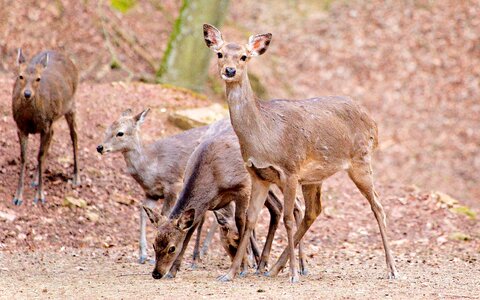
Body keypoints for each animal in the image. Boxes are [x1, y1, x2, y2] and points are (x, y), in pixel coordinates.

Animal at [11, 49, 79, 206]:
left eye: (38, 79)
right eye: (20, 76)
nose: (27, 94)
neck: (30, 119)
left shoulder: (46, 126)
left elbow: (40, 157)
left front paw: (40, 196)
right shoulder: (21, 127)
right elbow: (24, 157)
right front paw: (18, 197)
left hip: (70, 106)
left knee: (74, 136)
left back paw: (76, 178)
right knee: (51, 141)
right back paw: (35, 179)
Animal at [96, 109, 218, 264]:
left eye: (120, 133)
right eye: (107, 129)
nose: (100, 147)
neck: (153, 167)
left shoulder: (174, 185)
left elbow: (166, 214)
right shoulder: (151, 193)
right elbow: (144, 213)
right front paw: (142, 255)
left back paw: (202, 252)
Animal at [143, 118, 308, 280]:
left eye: (171, 248)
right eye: (154, 244)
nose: (156, 273)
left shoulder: (243, 187)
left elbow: (241, 222)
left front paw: (243, 268)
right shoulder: (204, 206)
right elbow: (191, 230)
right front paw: (173, 271)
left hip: (282, 176)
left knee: (298, 206)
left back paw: (302, 267)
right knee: (277, 207)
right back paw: (263, 264)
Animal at [202, 22, 398, 282]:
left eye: (244, 56)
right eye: (219, 54)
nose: (230, 70)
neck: (264, 137)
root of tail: (373, 123)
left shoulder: (290, 169)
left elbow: (286, 218)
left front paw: (294, 274)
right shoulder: (258, 175)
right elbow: (250, 220)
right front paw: (230, 273)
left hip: (360, 160)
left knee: (377, 206)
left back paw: (392, 269)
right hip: (314, 177)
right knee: (313, 211)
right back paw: (275, 267)